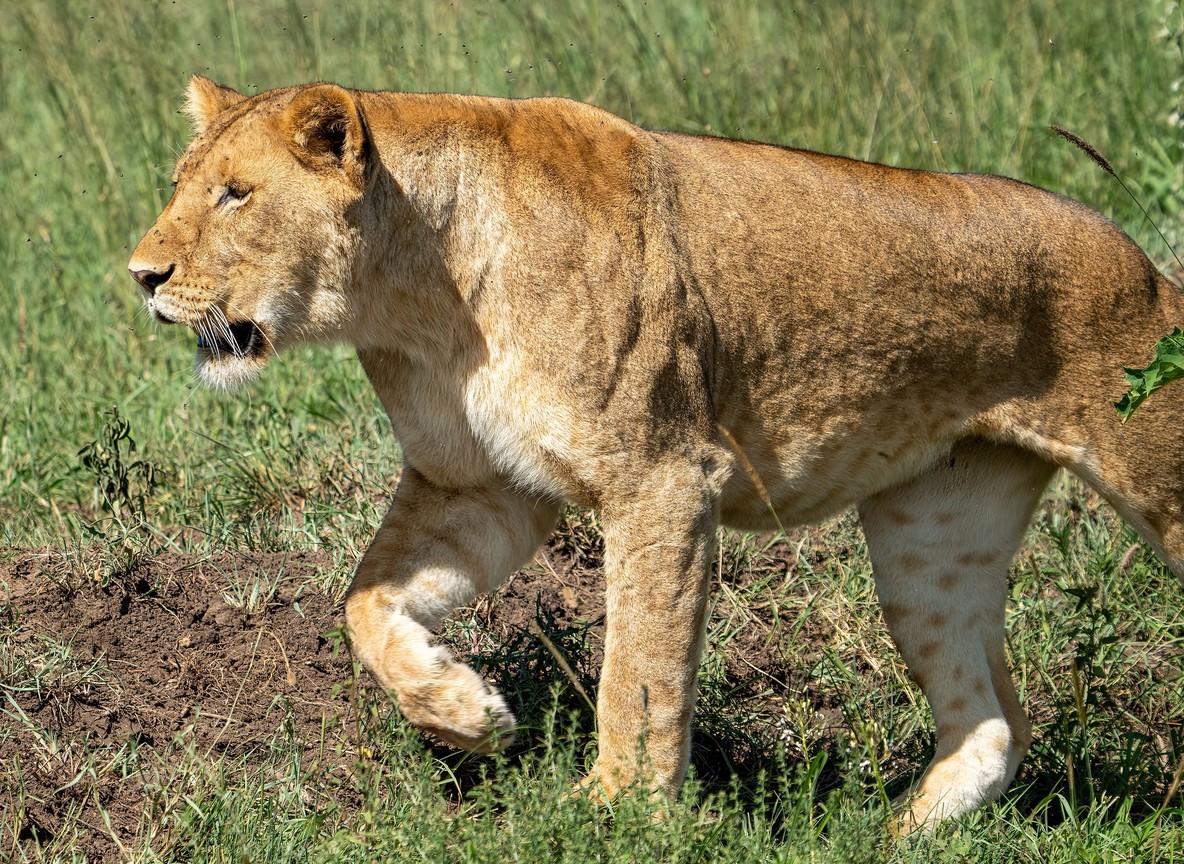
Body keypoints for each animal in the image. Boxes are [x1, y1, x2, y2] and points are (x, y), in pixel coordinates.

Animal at [129, 75, 1184, 832]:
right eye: (179, 186)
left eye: (235, 195)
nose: (141, 275)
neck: (414, 299)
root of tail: (1136, 254)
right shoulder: (477, 487)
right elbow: (366, 605)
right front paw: (464, 712)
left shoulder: (664, 478)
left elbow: (638, 664)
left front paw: (617, 811)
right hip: (932, 537)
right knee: (993, 718)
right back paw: (898, 835)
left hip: (1151, 475)